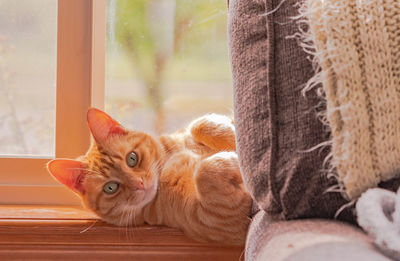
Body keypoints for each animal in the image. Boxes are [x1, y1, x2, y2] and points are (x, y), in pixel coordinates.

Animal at [47, 107, 252, 244]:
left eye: (132, 158)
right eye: (110, 188)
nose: (139, 183)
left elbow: (198, 124)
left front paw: (229, 131)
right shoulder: (215, 220)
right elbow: (204, 172)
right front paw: (232, 159)